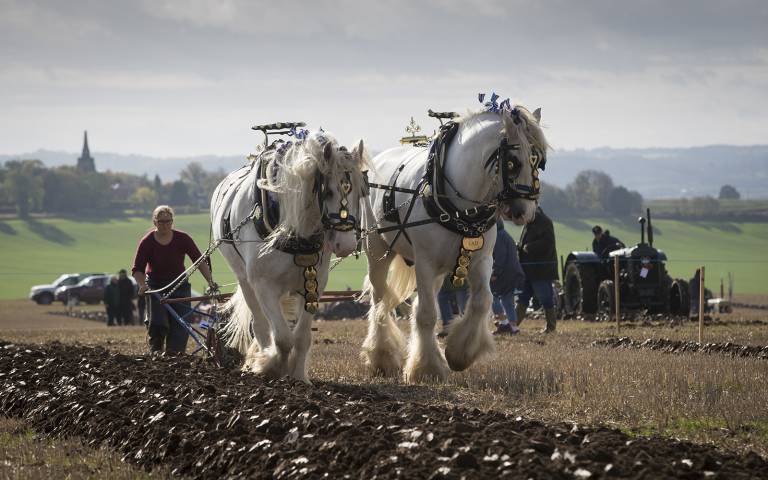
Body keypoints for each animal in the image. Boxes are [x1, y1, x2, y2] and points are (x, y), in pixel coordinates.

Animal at [213, 130, 368, 382]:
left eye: (361, 193)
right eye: (328, 191)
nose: (346, 245)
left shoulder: (314, 284)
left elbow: (301, 337)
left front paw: (298, 376)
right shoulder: (263, 285)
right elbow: (283, 338)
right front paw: (271, 367)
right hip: (245, 280)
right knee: (260, 325)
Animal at [364, 105, 548, 382]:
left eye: (539, 161)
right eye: (512, 162)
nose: (524, 212)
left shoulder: (481, 260)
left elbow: (482, 301)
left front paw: (459, 354)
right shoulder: (425, 263)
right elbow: (427, 315)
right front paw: (426, 369)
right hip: (378, 250)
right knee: (380, 301)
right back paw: (382, 357)